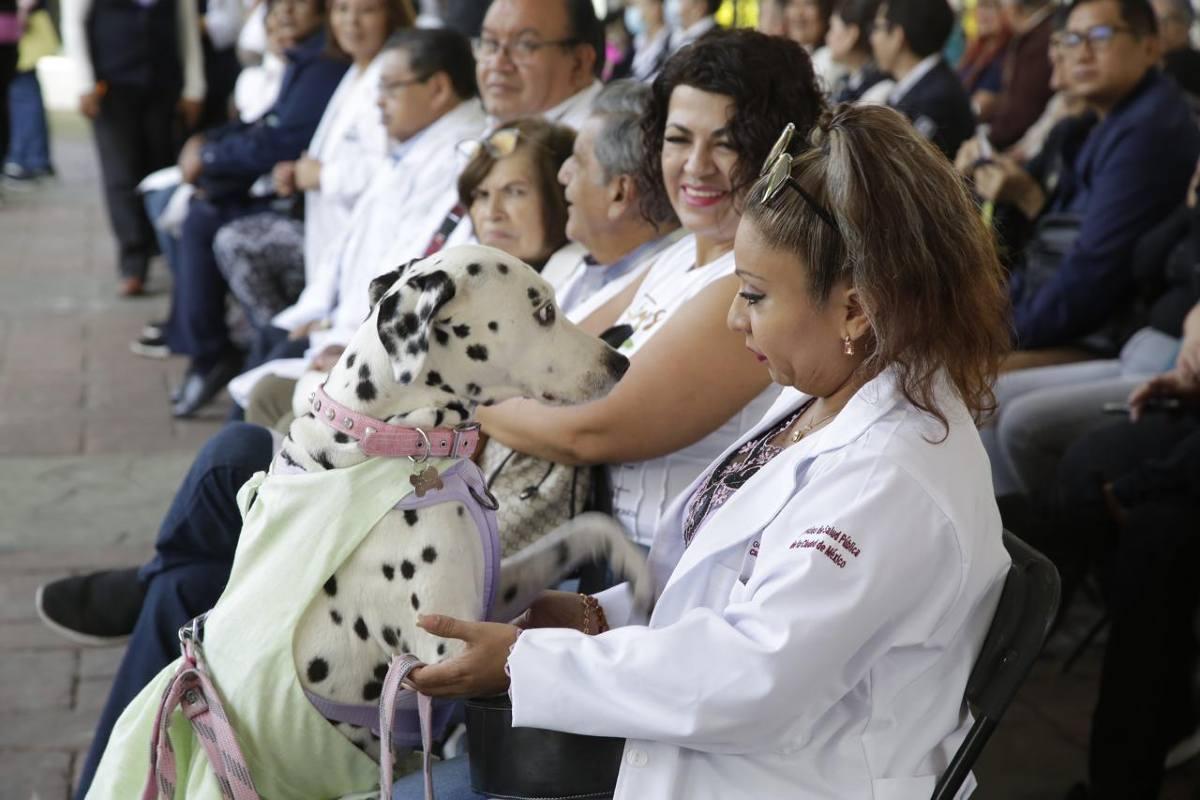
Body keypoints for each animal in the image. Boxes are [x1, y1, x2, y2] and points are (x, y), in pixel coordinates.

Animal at [279, 244, 652, 758]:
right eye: (544, 311)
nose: (622, 362)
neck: (381, 438)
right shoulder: (447, 653)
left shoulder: (494, 593)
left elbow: (588, 527)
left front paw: (638, 573)